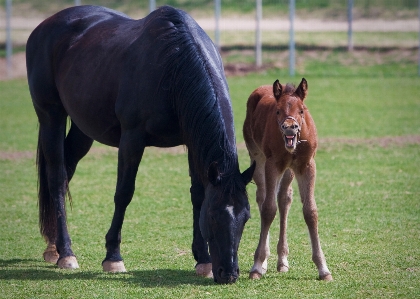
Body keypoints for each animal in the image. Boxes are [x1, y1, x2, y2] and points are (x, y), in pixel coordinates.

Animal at [27, 5, 256, 286]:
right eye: (213, 215)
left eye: (246, 217)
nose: (229, 274)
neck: (172, 64)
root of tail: (45, 26)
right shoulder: (132, 140)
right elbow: (124, 193)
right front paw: (113, 257)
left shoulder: (192, 142)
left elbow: (197, 194)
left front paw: (202, 259)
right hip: (51, 116)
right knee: (57, 178)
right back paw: (66, 253)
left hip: (83, 129)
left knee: (66, 169)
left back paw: (53, 247)